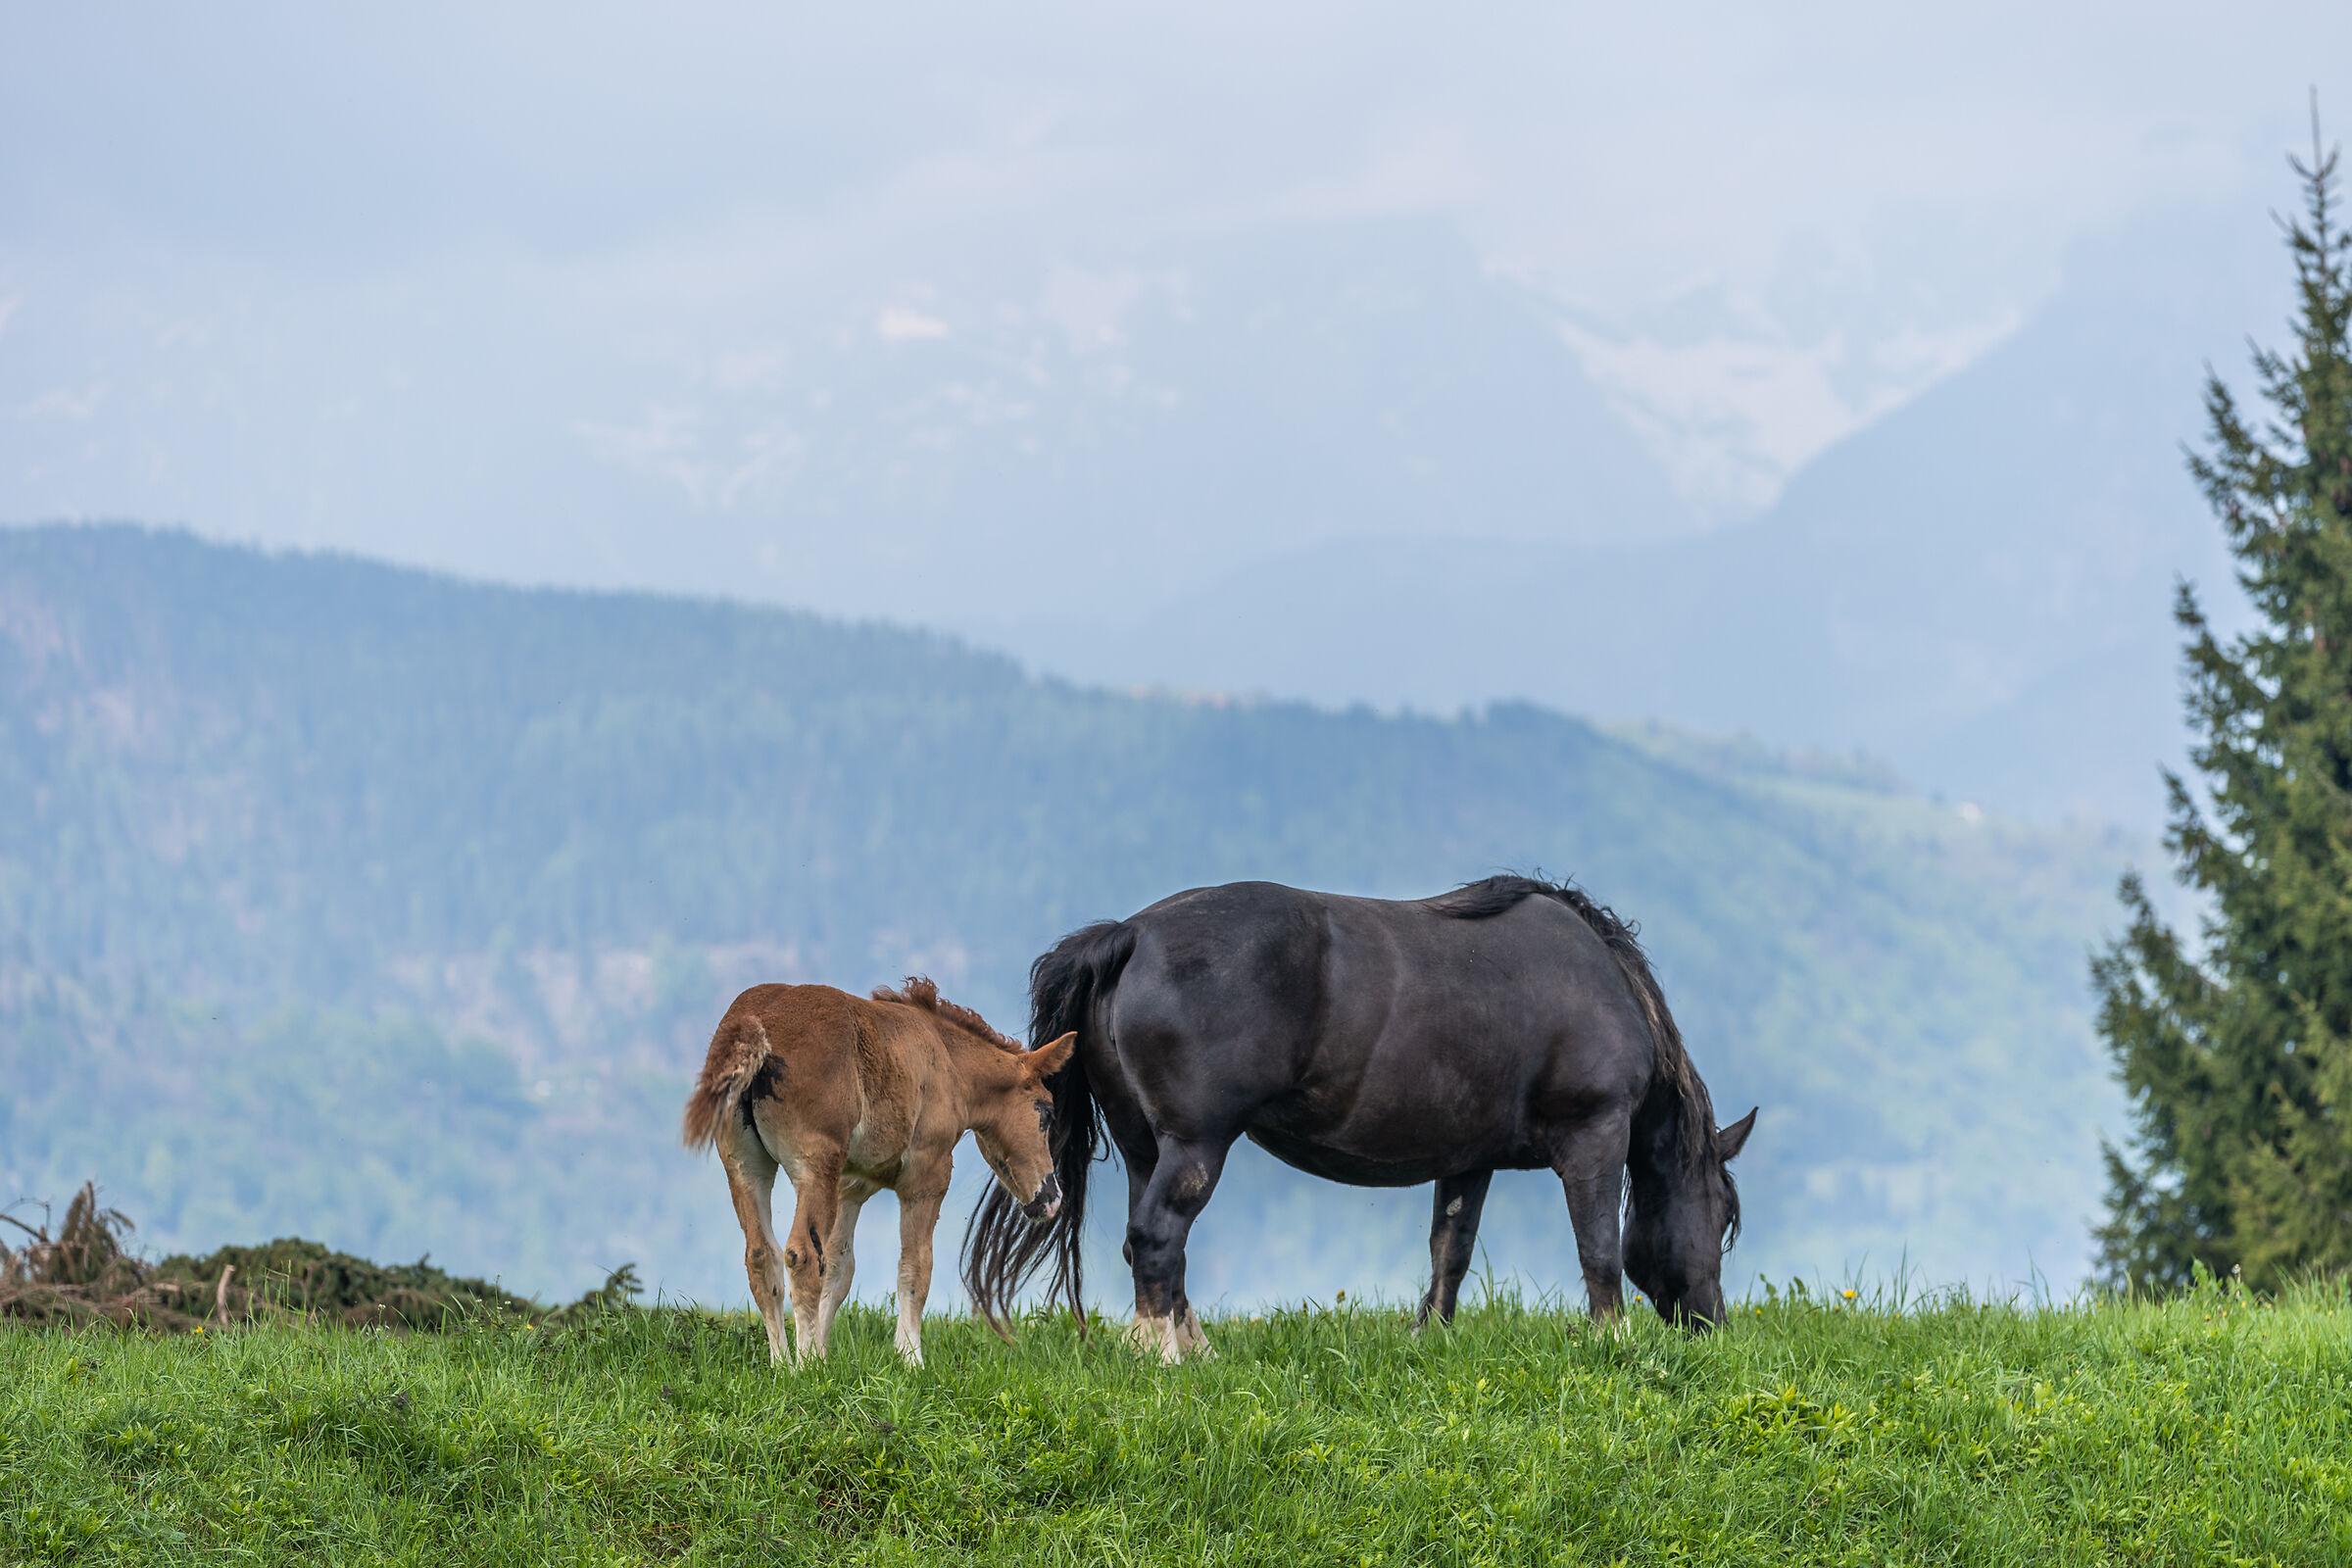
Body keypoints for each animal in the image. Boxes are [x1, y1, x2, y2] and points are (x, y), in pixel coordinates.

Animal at [683, 977, 1075, 1366]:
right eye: (1047, 1111)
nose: (1052, 1198)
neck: (945, 1058)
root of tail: (759, 1019)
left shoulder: (850, 1187)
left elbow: (839, 1269)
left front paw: (825, 1354)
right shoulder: (927, 1177)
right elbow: (915, 1267)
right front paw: (910, 1358)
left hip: (745, 1167)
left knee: (761, 1257)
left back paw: (783, 1365)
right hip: (814, 1168)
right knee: (802, 1256)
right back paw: (803, 1369)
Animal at [963, 875, 1755, 1361]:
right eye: (1721, 1217)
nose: (1713, 1325)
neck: (1602, 984)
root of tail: (1127, 936)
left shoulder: (1469, 1159)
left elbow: (1450, 1251)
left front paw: (1429, 1338)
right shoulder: (1594, 1138)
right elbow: (1598, 1250)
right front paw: (1610, 1342)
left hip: (1143, 1147)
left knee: (1149, 1243)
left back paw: (1197, 1349)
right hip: (1194, 1147)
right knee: (1157, 1237)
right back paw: (1167, 1358)